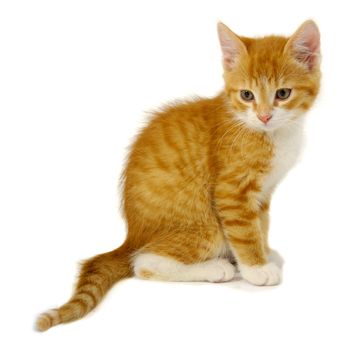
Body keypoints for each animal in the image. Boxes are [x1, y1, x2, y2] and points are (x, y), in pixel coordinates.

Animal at [35, 20, 320, 332]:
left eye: (283, 94)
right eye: (247, 95)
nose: (265, 116)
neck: (267, 132)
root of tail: (131, 236)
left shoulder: (263, 192)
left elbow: (261, 223)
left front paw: (264, 252)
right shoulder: (231, 192)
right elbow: (245, 231)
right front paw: (256, 268)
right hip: (205, 224)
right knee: (143, 263)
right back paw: (215, 268)